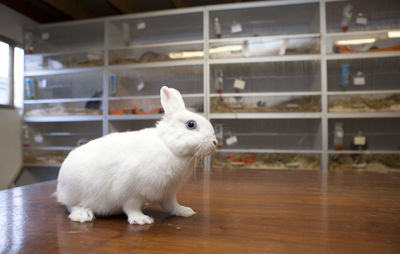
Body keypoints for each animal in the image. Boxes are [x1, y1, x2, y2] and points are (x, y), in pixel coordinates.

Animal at [57, 87, 216, 224]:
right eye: (191, 124)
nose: (215, 142)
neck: (168, 146)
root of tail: (60, 186)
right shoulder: (130, 192)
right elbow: (131, 207)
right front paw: (142, 219)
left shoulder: (168, 192)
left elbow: (172, 205)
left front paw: (185, 211)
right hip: (75, 192)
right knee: (71, 205)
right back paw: (82, 215)